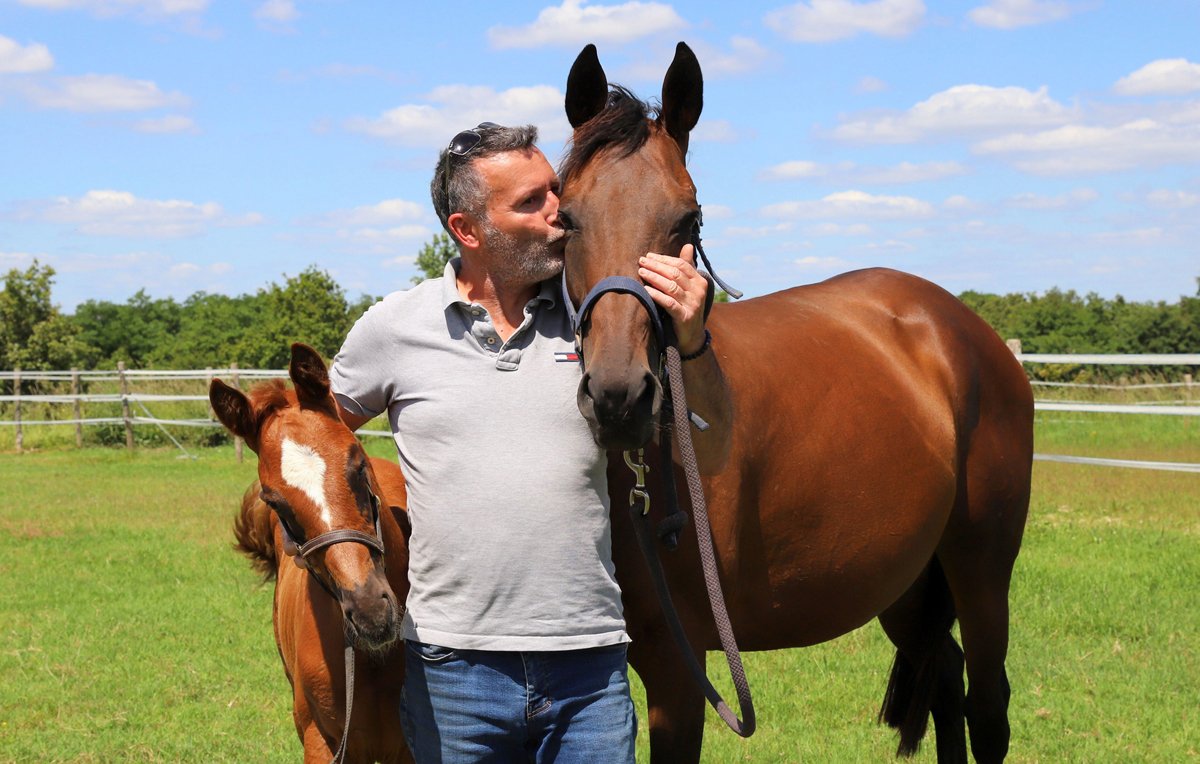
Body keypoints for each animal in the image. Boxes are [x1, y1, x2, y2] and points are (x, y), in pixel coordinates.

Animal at [560, 43, 1034, 764]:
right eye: (564, 217)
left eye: (688, 219)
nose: (619, 397)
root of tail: (965, 329)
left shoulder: (680, 668)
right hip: (903, 576)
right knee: (945, 679)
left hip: (980, 570)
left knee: (986, 709)